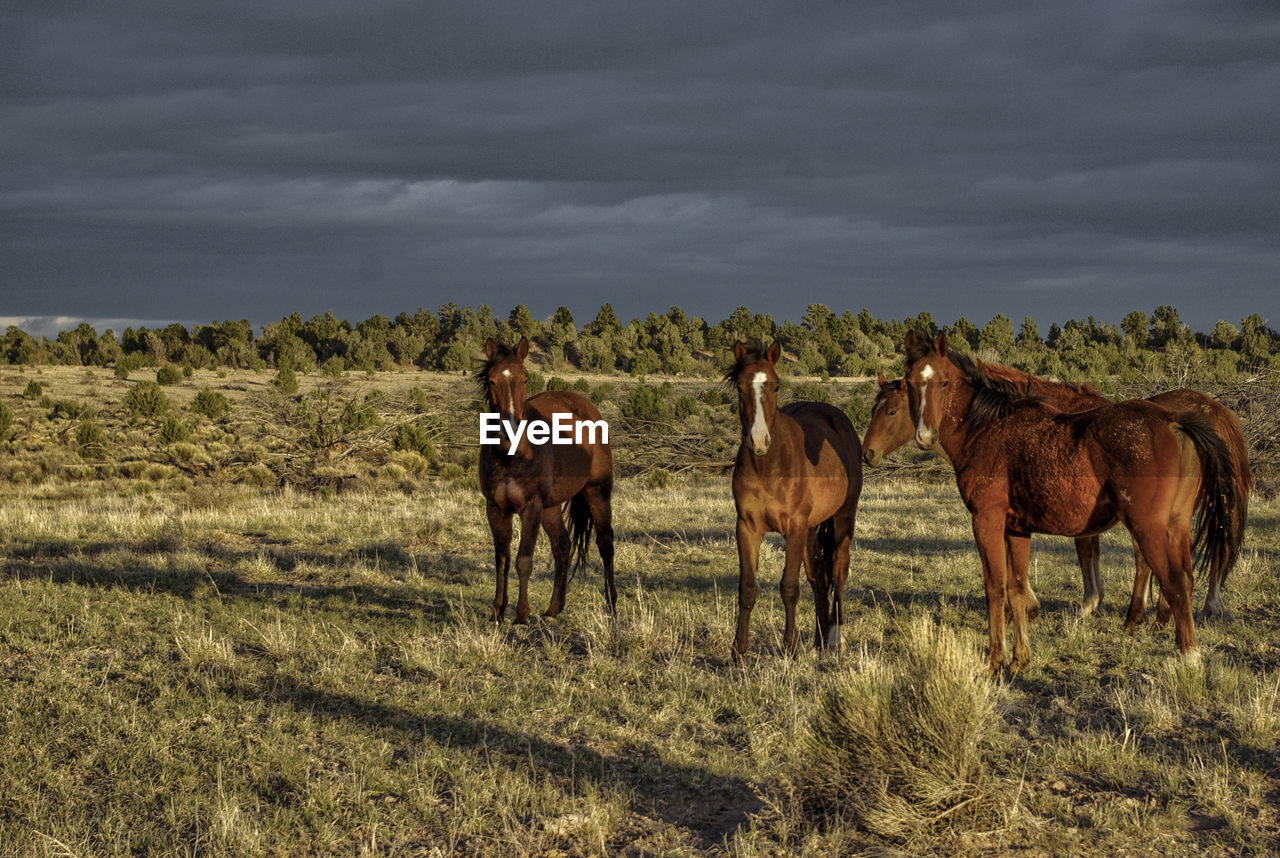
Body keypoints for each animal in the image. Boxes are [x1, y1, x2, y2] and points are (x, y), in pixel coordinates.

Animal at [481, 335, 619, 624]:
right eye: (491, 380)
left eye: (524, 379)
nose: (510, 429)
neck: (513, 454)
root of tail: (586, 407)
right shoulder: (495, 508)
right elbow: (502, 559)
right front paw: (497, 611)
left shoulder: (530, 507)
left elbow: (523, 559)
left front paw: (521, 615)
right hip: (551, 507)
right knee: (563, 547)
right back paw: (554, 608)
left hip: (598, 491)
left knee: (605, 543)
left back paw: (612, 603)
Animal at [727, 343, 865, 660]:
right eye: (740, 387)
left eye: (776, 386)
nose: (758, 441)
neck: (768, 466)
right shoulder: (747, 528)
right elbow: (747, 587)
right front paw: (739, 649)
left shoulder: (794, 527)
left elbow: (789, 586)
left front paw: (789, 646)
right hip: (812, 530)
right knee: (819, 578)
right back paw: (819, 641)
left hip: (841, 519)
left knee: (838, 572)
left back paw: (835, 639)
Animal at [901, 332, 1239, 676]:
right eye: (908, 382)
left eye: (944, 382)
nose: (925, 437)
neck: (988, 429)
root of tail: (1174, 422)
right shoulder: (1016, 529)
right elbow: (1017, 588)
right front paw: (1020, 658)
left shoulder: (986, 521)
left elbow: (994, 587)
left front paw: (996, 659)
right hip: (1176, 527)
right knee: (1186, 578)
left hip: (1149, 529)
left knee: (1175, 582)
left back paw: (1187, 655)